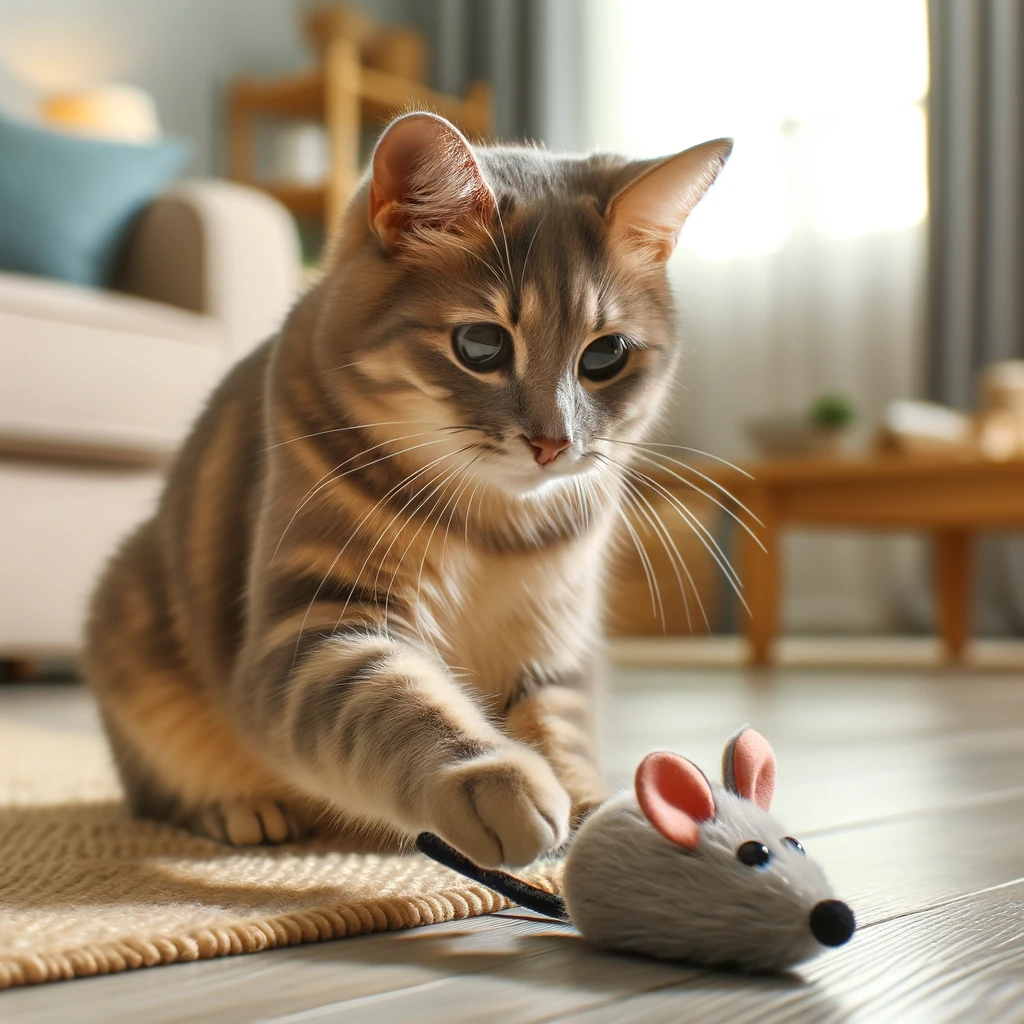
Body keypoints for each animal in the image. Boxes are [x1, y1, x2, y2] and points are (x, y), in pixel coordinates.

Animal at [86, 112, 729, 864]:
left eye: (605, 356)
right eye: (480, 345)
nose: (553, 442)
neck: (496, 527)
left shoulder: (554, 642)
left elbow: (560, 725)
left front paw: (601, 809)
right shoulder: (316, 624)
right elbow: (396, 700)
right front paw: (495, 779)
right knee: (157, 790)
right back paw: (240, 808)